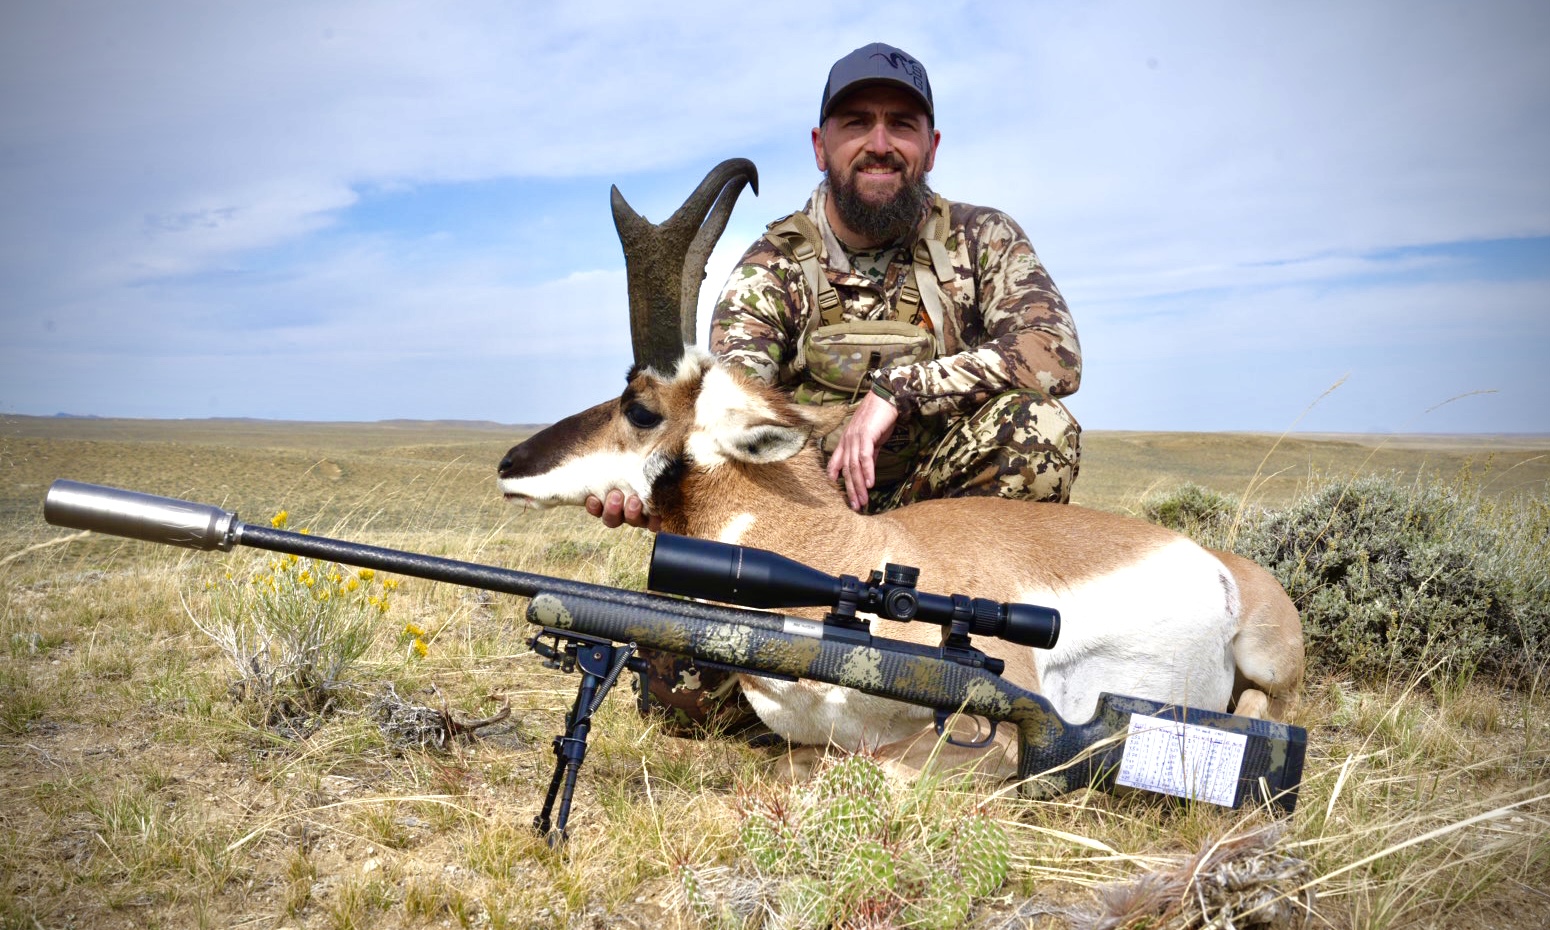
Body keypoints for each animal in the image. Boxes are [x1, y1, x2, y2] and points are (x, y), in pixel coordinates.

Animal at [498, 159, 1304, 776]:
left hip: (1267, 661)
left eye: (639, 406)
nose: (509, 463)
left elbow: (881, 767)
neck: (844, 554)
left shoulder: (992, 731)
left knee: (1262, 703)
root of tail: (1226, 564)